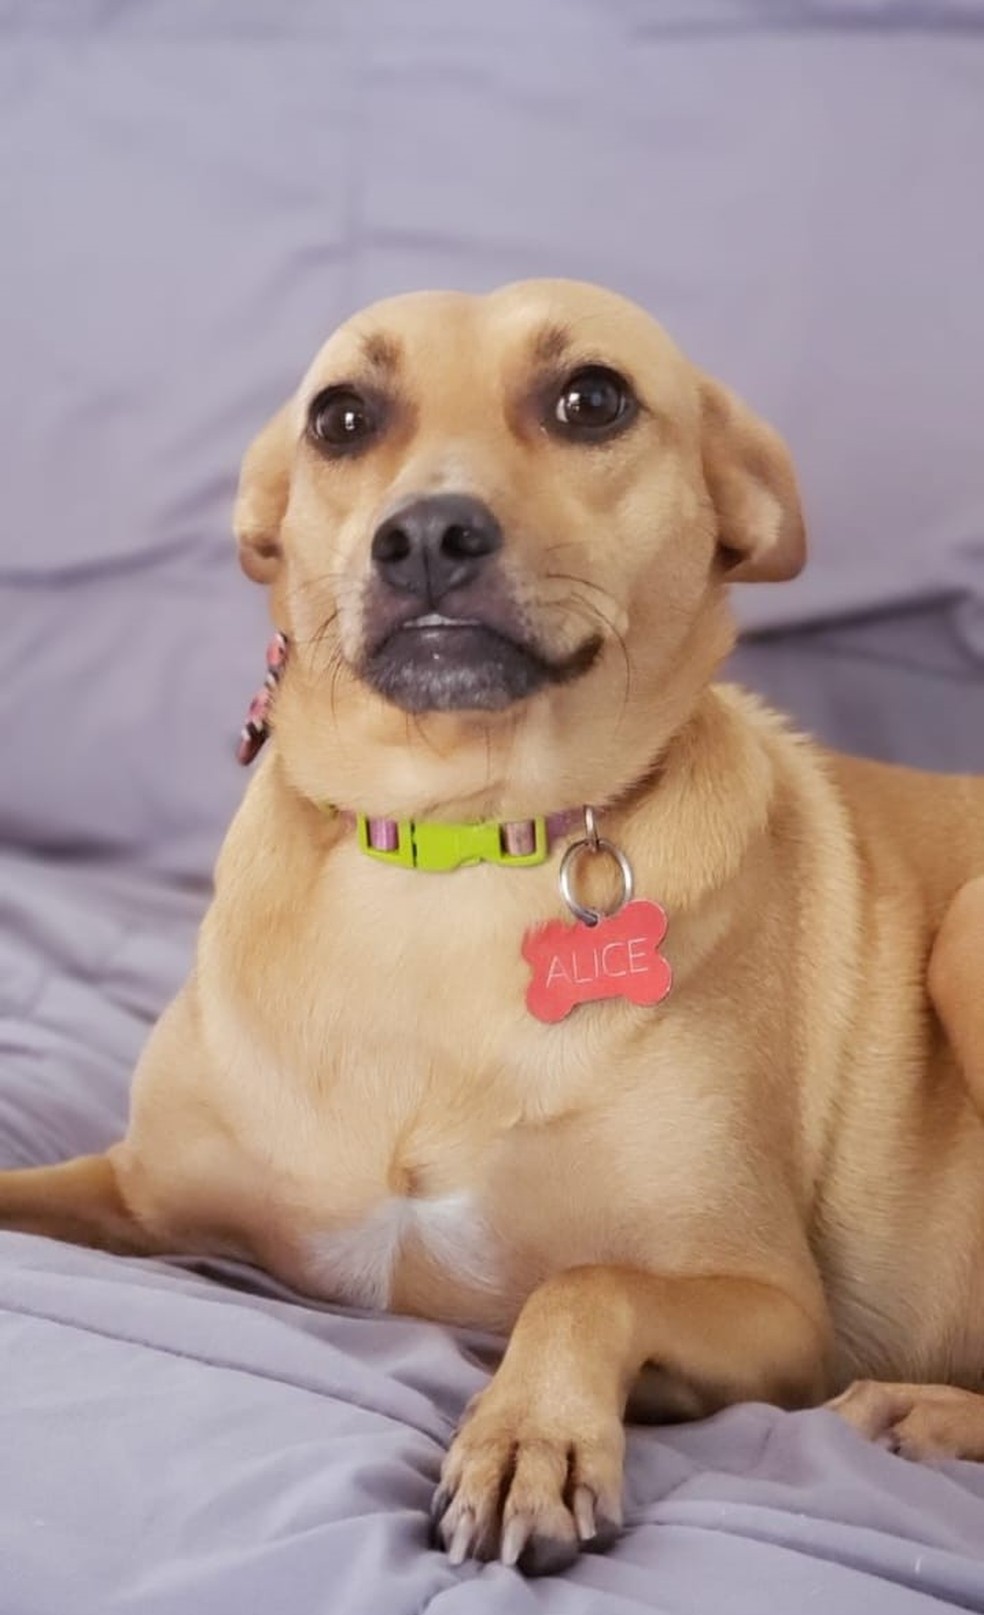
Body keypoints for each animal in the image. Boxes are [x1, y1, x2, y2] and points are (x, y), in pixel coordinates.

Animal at [1, 281, 982, 1576]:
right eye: (341, 418)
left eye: (592, 399)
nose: (425, 536)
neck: (449, 851)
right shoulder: (138, 1189)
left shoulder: (776, 1310)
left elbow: (584, 1284)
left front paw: (531, 1435)